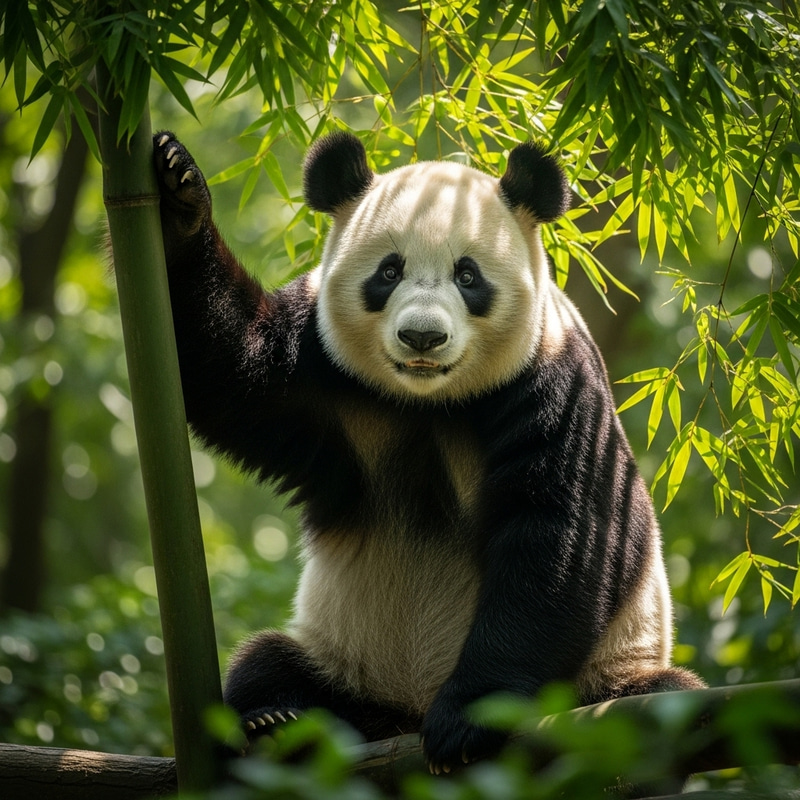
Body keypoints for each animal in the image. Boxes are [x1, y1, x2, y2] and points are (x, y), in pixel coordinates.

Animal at [152, 130, 704, 773]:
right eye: (389, 271)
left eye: (468, 276)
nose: (422, 337)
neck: (429, 402)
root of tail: (402, 716)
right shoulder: (315, 362)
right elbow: (228, 369)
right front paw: (178, 188)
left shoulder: (554, 380)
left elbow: (563, 534)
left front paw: (467, 724)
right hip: (346, 660)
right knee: (267, 663)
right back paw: (276, 722)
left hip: (611, 671)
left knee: (660, 702)